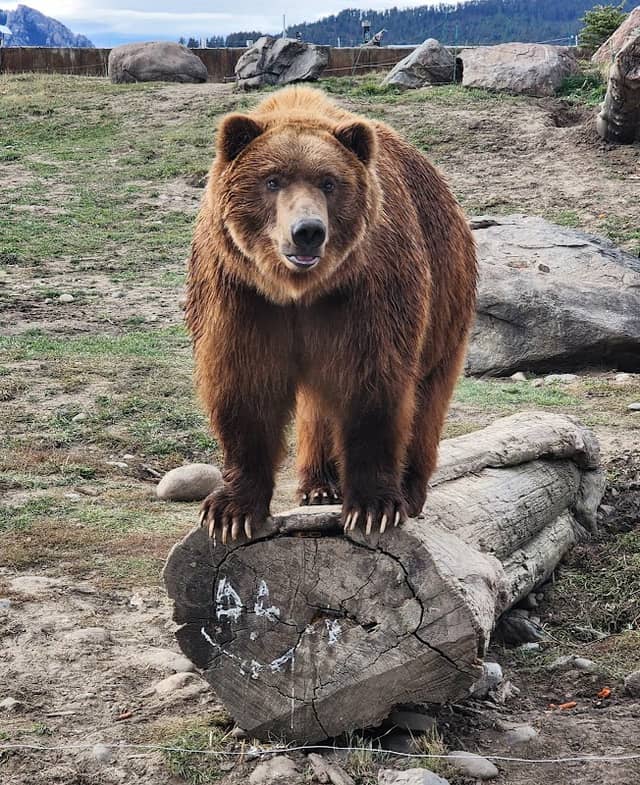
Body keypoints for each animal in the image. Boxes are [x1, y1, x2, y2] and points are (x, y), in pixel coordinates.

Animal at [186, 86, 477, 544]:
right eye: (272, 180)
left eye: (329, 182)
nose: (307, 231)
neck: (299, 290)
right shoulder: (239, 291)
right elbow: (243, 385)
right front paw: (230, 511)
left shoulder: (367, 290)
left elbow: (372, 383)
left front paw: (374, 507)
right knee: (318, 407)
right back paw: (319, 486)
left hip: (447, 299)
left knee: (428, 397)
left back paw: (410, 489)